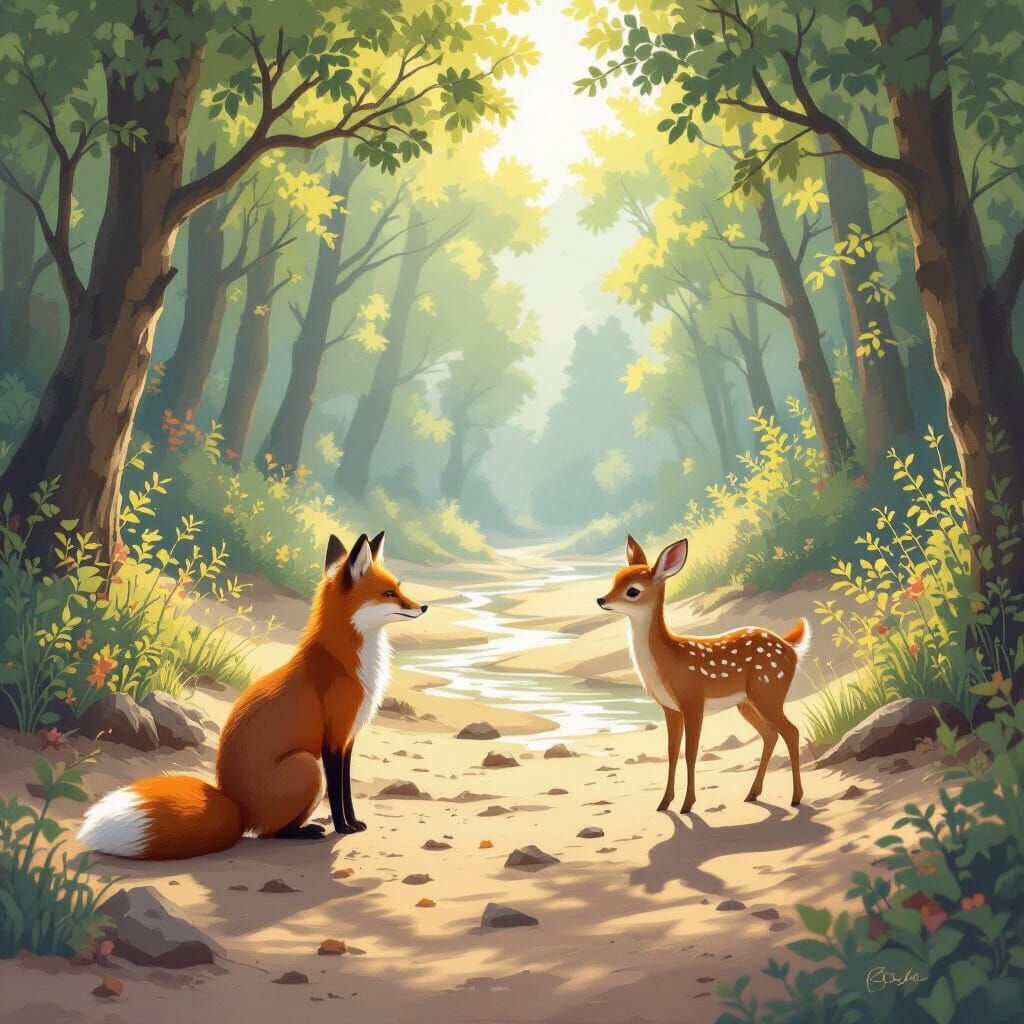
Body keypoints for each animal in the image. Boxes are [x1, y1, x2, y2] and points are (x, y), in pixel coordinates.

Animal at [78, 531, 428, 859]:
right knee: (269, 832)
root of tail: (236, 806)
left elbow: (346, 790)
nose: (423, 606)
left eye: (399, 587)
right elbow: (339, 793)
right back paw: (305, 832)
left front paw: (353, 823)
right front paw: (343, 828)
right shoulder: (333, 740)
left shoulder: (348, 739)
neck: (346, 661)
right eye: (389, 593)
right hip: (307, 766)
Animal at [596, 535, 809, 814]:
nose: (601, 600)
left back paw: (795, 797)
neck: (667, 660)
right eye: (615, 579)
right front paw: (664, 802)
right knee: (770, 734)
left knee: (791, 732)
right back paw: (752, 793)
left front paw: (687, 804)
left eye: (633, 590)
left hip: (768, 691)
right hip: (747, 702)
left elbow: (691, 752)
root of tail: (790, 646)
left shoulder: (692, 699)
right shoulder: (670, 708)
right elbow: (672, 751)